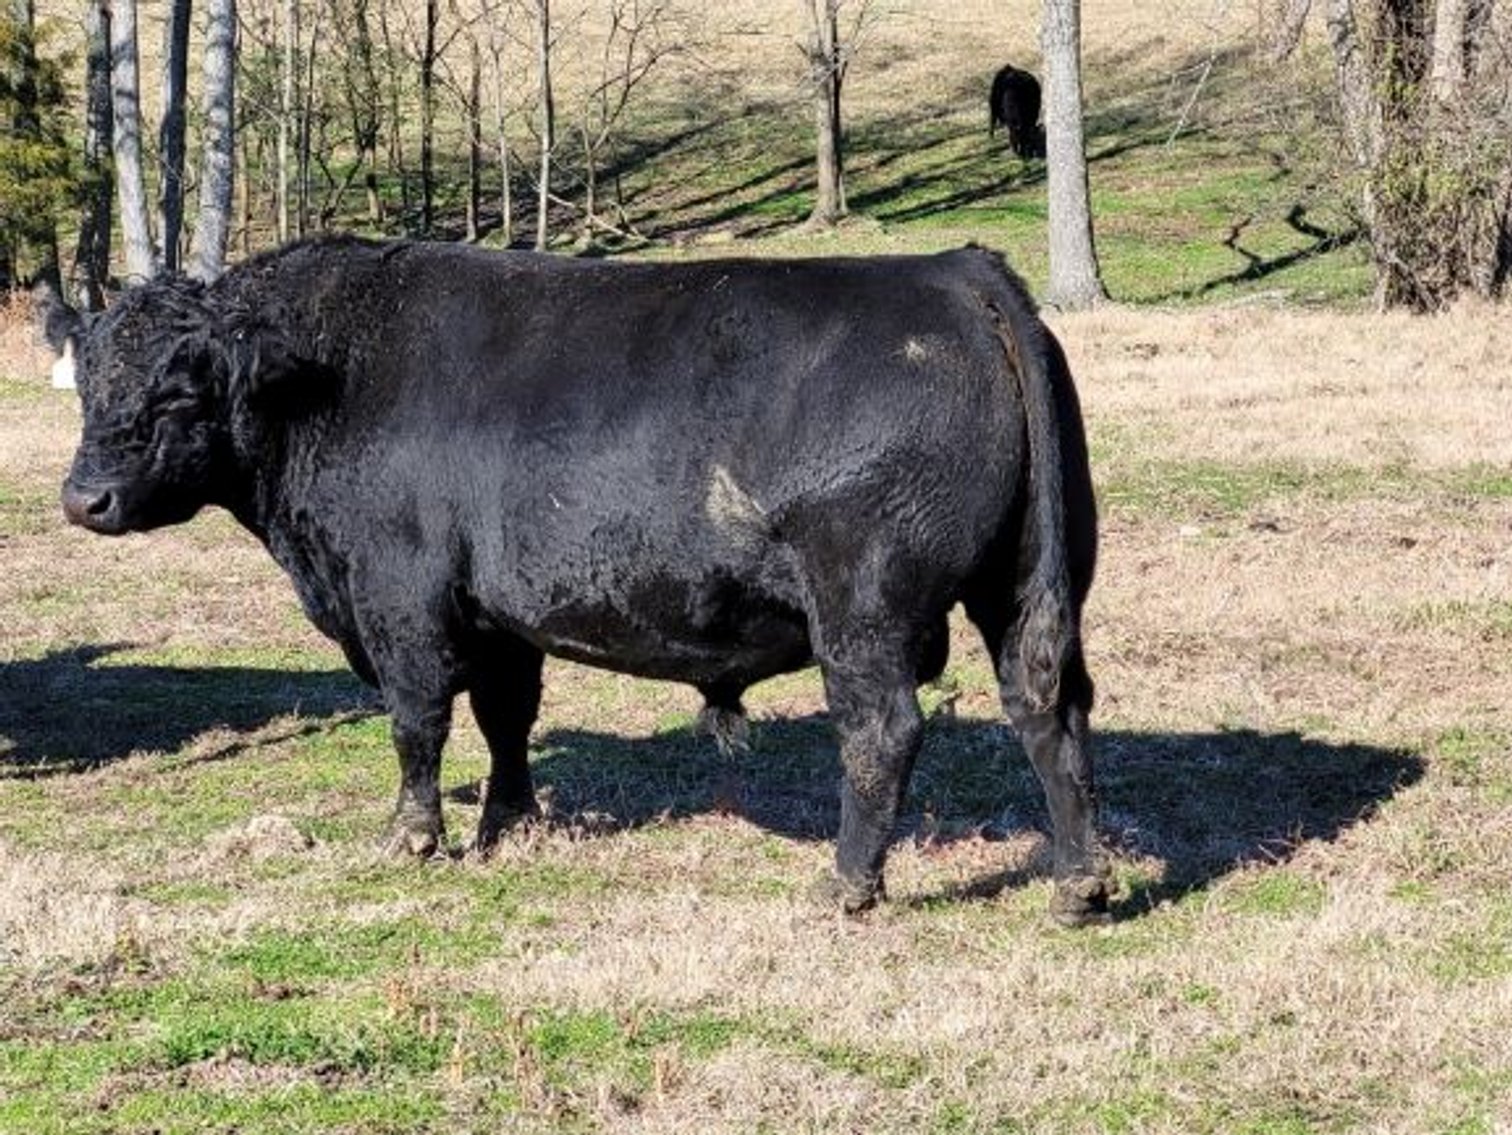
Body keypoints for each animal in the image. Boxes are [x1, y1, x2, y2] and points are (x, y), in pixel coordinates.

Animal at [42, 237, 1107, 924]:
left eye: (179, 392)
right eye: (89, 383)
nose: (85, 498)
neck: (327, 377)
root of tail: (956, 271)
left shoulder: (400, 598)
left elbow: (418, 721)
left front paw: (414, 836)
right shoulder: (495, 612)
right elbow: (506, 717)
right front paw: (509, 821)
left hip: (865, 605)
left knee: (883, 731)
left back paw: (847, 886)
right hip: (1023, 588)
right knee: (1049, 707)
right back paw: (1078, 884)